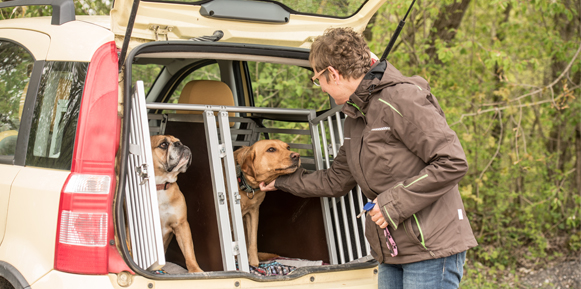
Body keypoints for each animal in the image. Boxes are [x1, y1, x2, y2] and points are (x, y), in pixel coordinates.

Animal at [151, 134, 203, 272]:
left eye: (178, 141)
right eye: (163, 144)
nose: (179, 144)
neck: (159, 187)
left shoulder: (181, 225)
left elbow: (189, 251)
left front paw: (195, 270)